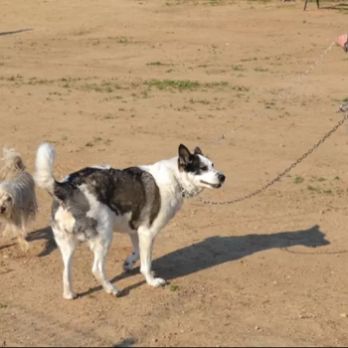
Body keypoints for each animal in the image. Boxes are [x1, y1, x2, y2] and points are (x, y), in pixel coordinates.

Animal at [35, 143, 226, 300]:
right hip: (104, 238)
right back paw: (112, 289)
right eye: (203, 168)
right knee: (97, 269)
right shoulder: (148, 232)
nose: (223, 176)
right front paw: (152, 281)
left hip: (66, 244)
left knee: (66, 271)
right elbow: (146, 264)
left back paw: (70, 294)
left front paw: (128, 263)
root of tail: (67, 187)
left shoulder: (136, 230)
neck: (175, 178)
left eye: (213, 165)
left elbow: (137, 253)